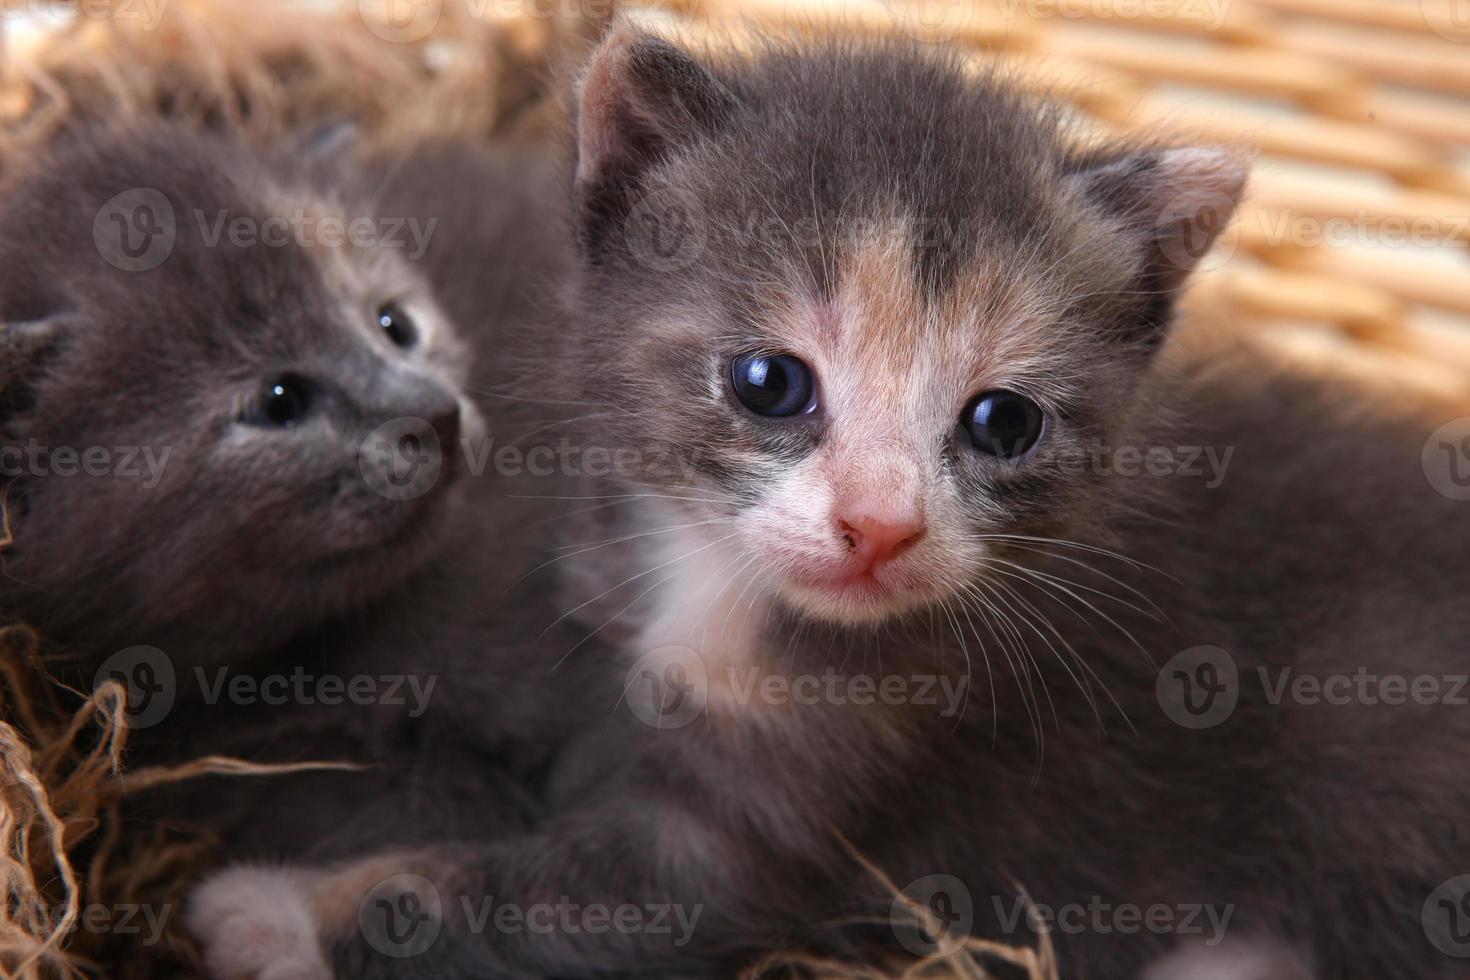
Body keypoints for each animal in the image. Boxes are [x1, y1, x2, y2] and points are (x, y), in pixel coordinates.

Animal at [180, 28, 1470, 980]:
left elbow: (535, 897)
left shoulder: (785, 803)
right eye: (770, 382)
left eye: (1005, 422)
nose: (880, 525)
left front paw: (271, 914)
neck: (722, 594)